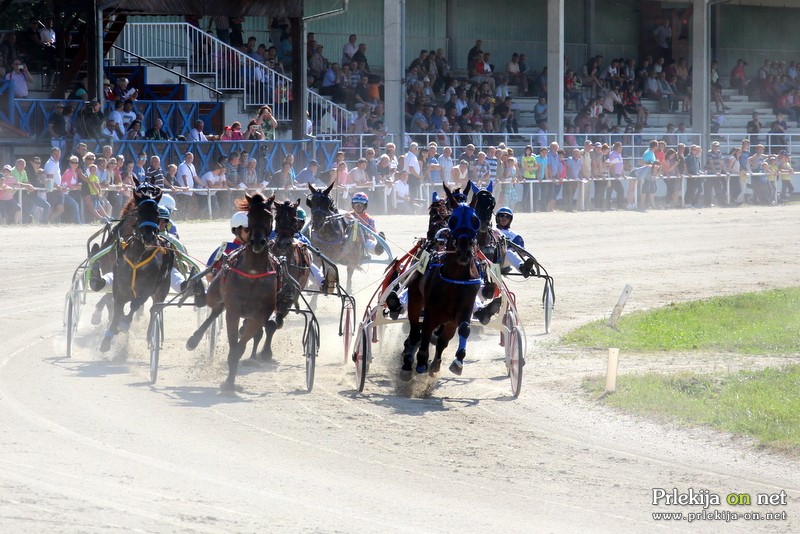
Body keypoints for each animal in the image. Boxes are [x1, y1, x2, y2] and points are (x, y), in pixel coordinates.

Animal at [99, 182, 174, 354]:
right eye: (139, 212)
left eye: (156, 212)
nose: (148, 237)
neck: (137, 255)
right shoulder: (118, 284)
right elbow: (117, 308)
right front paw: (108, 337)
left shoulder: (148, 287)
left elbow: (135, 304)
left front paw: (124, 324)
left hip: (161, 289)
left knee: (154, 309)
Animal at [400, 188, 482, 382]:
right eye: (453, 220)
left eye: (475, 220)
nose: (464, 250)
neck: (455, 279)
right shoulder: (431, 310)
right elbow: (425, 332)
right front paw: (421, 360)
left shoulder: (463, 310)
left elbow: (464, 329)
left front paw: (457, 361)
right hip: (415, 299)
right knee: (415, 331)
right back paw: (410, 360)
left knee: (442, 338)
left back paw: (434, 362)